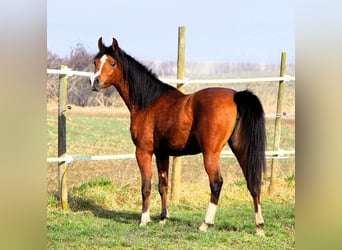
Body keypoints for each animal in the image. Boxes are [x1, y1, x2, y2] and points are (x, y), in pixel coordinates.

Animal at [89, 37, 266, 236]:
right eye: (95, 62)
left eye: (112, 63)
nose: (95, 82)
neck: (148, 102)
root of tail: (236, 96)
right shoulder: (162, 154)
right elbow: (163, 185)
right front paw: (163, 218)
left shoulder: (143, 151)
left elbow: (146, 186)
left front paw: (144, 219)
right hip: (241, 149)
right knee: (253, 182)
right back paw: (259, 226)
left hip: (211, 153)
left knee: (216, 183)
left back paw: (206, 223)